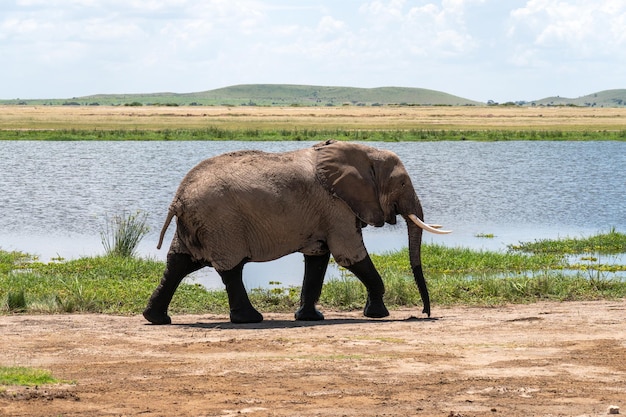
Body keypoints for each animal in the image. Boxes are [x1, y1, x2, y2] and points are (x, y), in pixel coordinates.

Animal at [143, 138, 448, 324]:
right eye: (402, 184)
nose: (424, 313)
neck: (361, 152)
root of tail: (178, 198)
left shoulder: (326, 212)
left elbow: (318, 258)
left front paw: (311, 317)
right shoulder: (336, 206)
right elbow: (349, 255)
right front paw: (378, 315)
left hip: (201, 223)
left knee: (178, 263)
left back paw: (155, 319)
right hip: (221, 223)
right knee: (229, 268)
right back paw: (250, 319)